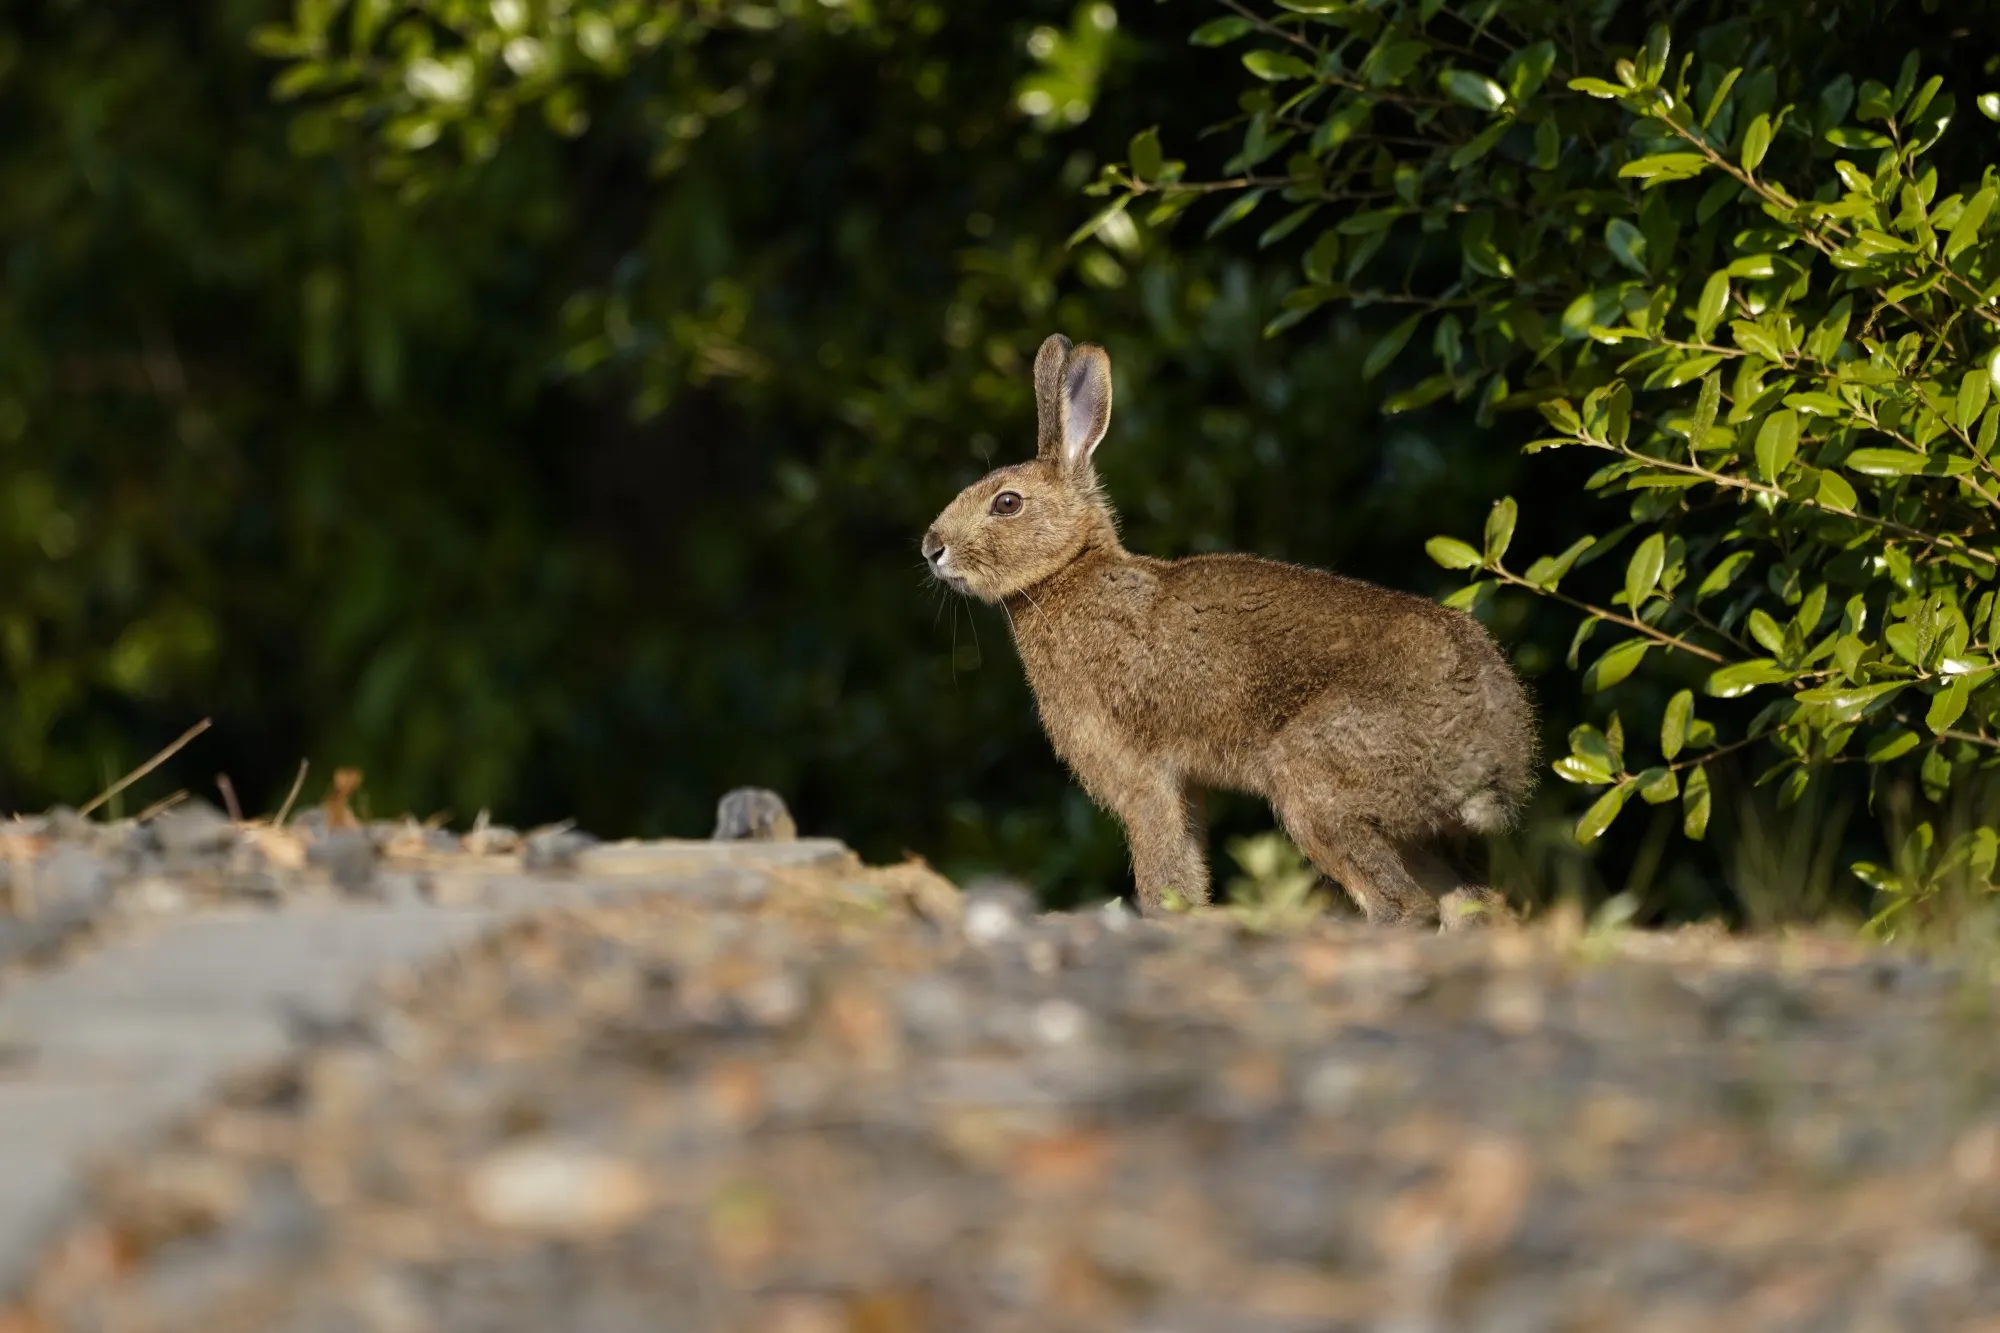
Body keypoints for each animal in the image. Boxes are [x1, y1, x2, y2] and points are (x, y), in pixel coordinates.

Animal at [921, 333, 1537, 927]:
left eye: (1007, 503)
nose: (931, 548)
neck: (1068, 574)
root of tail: (1492, 755)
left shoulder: (1138, 775)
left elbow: (1162, 864)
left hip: (1316, 785)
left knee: (1403, 903)